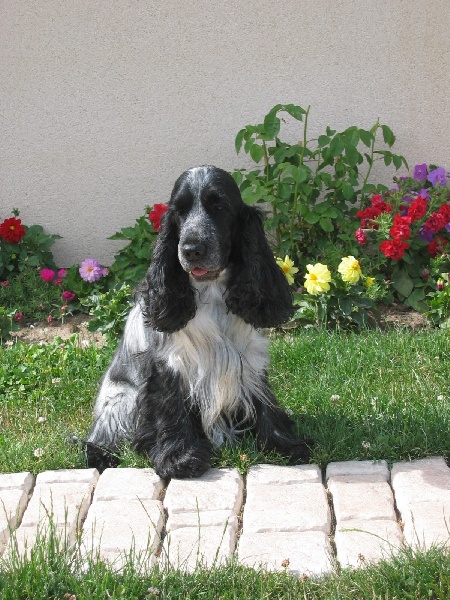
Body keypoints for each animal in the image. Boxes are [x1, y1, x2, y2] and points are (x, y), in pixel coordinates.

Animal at [85, 165, 311, 478]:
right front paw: (179, 458)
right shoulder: (171, 365)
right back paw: (102, 455)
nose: (191, 249)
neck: (212, 292)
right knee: (98, 439)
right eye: (179, 212)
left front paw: (286, 444)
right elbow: (172, 409)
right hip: (121, 399)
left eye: (219, 206)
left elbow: (266, 406)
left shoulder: (250, 362)